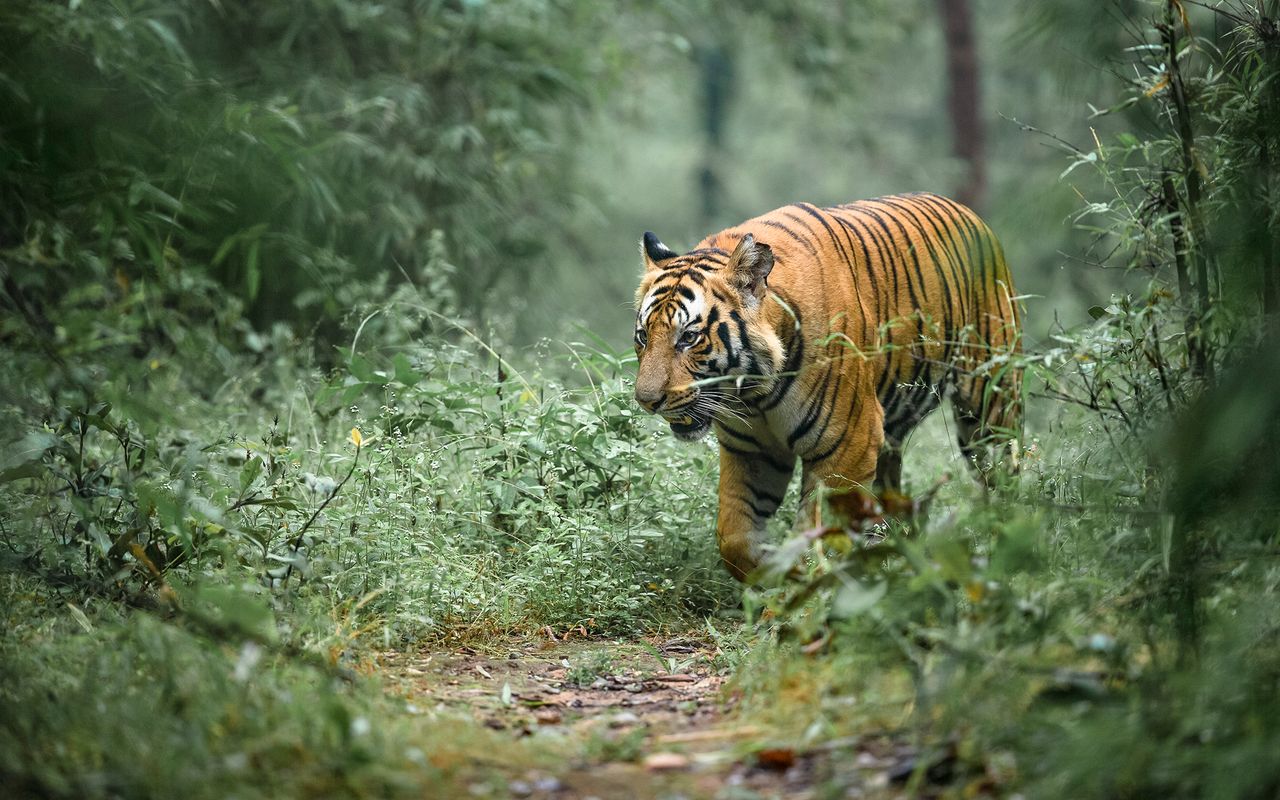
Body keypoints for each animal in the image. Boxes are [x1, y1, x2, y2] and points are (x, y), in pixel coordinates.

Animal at [632, 192, 1022, 581]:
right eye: (643, 336)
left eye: (689, 337)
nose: (647, 401)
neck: (754, 395)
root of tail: (969, 213)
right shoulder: (751, 450)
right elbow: (734, 538)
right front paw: (768, 574)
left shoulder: (849, 447)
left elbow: (812, 538)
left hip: (988, 408)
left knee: (1001, 476)